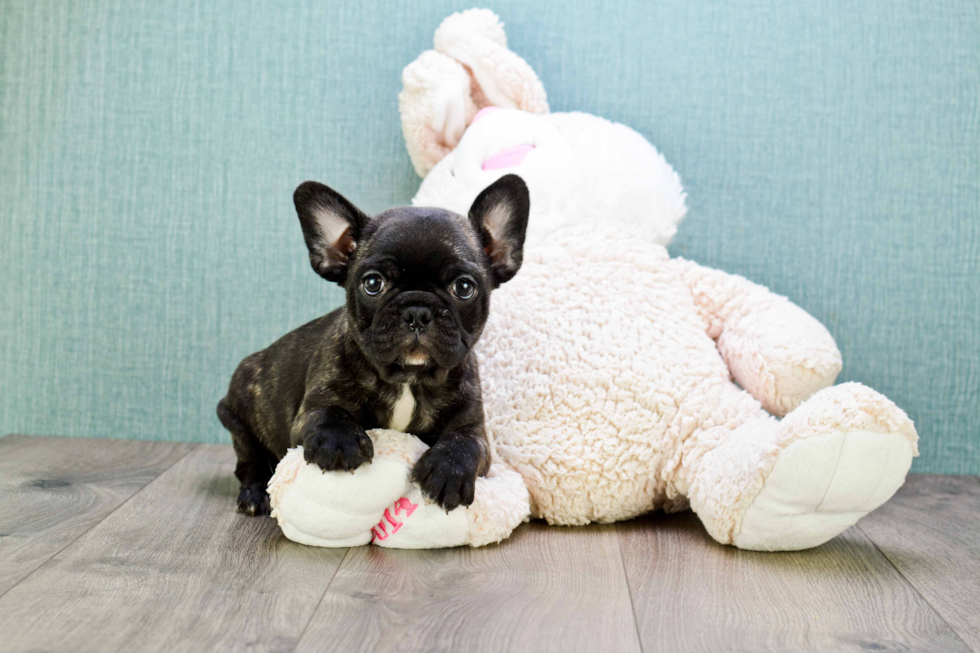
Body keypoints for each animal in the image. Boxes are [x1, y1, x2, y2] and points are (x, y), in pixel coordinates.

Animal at [219, 172, 532, 516]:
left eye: (464, 287)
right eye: (372, 283)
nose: (417, 311)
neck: (409, 377)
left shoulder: (474, 428)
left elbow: (465, 444)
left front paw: (447, 472)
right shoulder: (310, 409)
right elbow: (327, 414)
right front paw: (339, 442)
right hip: (239, 421)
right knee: (250, 462)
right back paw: (254, 494)